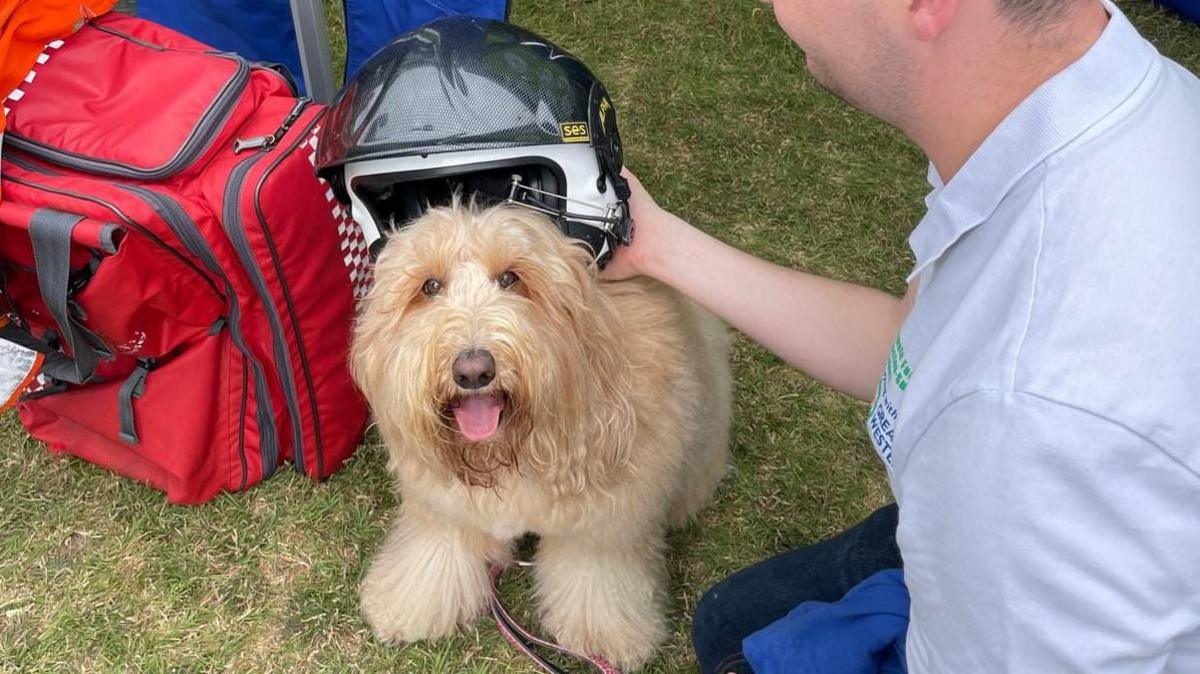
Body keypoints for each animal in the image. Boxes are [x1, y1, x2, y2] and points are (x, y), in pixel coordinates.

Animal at [348, 199, 729, 666]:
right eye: (430, 285)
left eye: (511, 278)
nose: (473, 371)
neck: (512, 447)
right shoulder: (446, 507)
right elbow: (437, 554)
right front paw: (408, 604)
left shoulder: (606, 522)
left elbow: (595, 579)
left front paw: (604, 636)